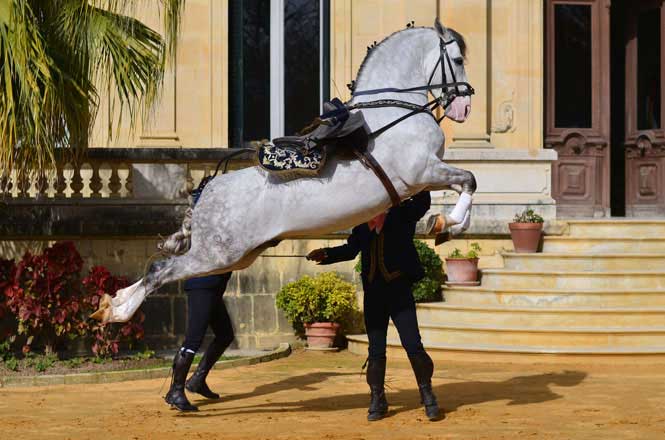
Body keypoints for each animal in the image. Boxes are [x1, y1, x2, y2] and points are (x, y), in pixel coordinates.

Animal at [92, 18, 478, 324]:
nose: (464, 105)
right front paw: (447, 223)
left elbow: (465, 185)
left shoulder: (423, 179)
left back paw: (111, 305)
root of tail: (205, 192)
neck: (394, 111)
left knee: (160, 269)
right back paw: (119, 312)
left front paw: (445, 225)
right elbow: (470, 180)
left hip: (234, 258)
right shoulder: (423, 171)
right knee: (161, 270)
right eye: (458, 59)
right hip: (216, 254)